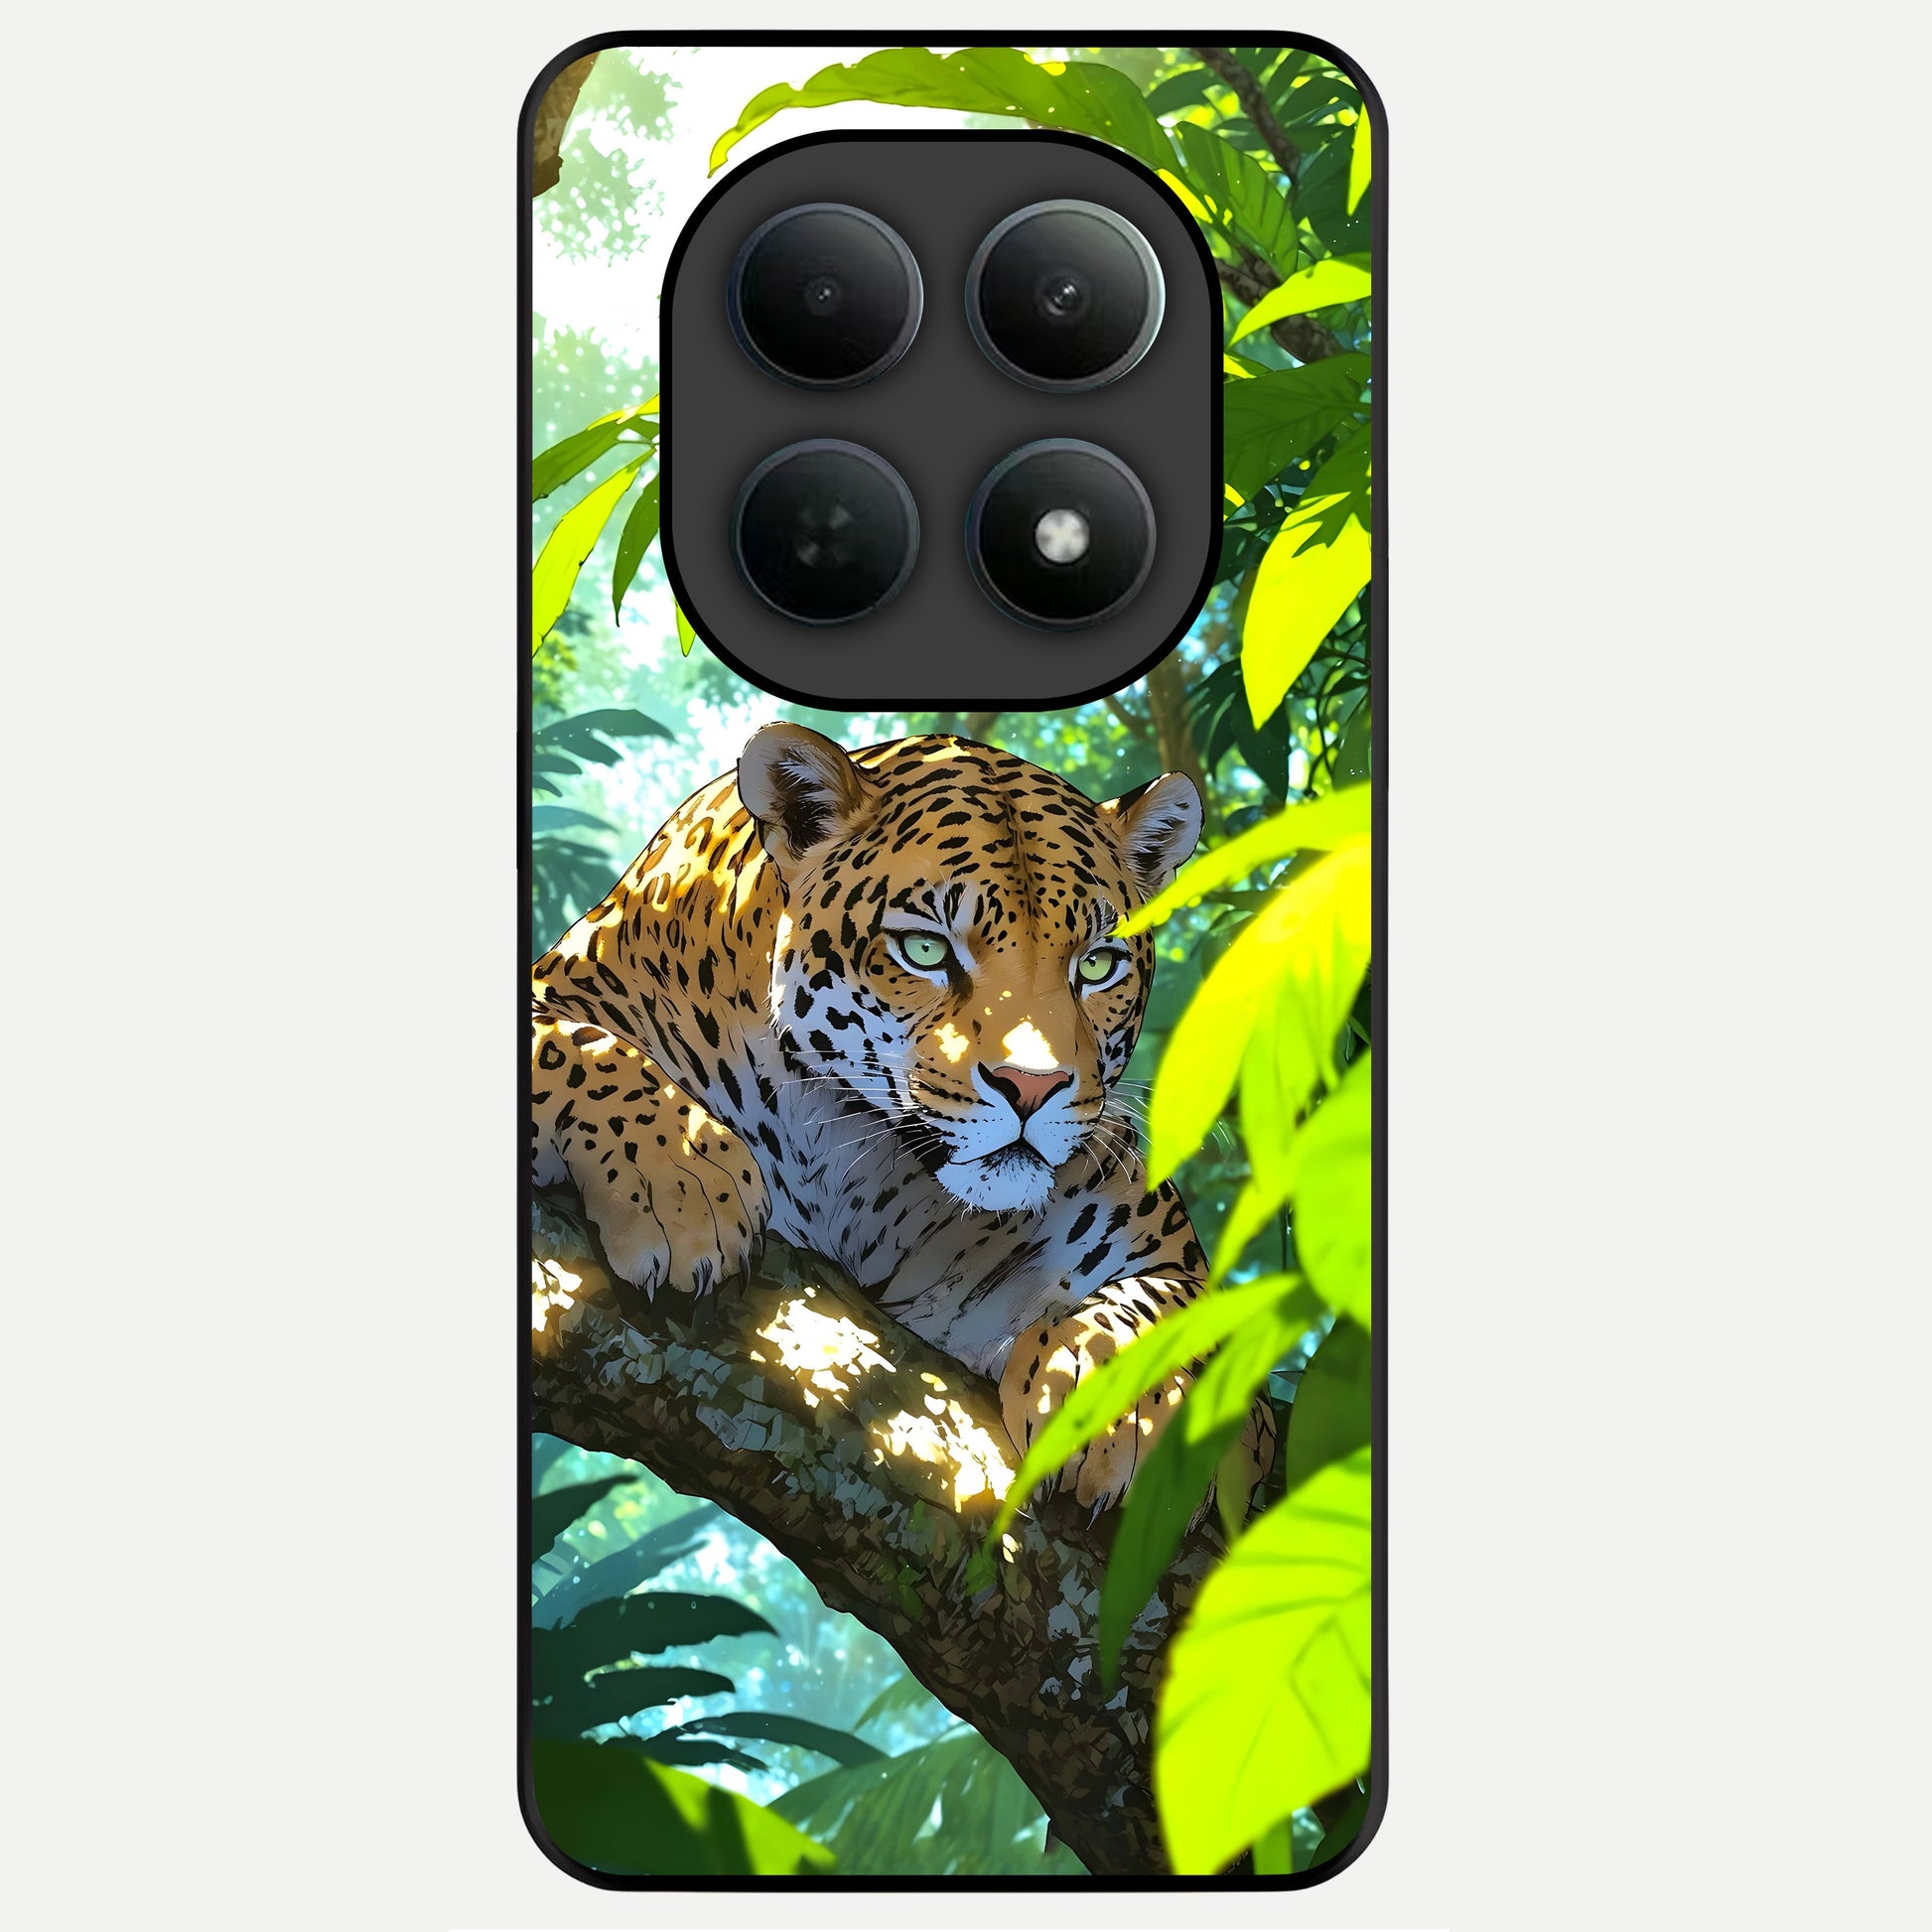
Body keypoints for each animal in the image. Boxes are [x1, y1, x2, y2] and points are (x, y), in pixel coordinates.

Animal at [531, 723, 1273, 1513]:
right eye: (925, 949)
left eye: (1098, 965)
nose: (1032, 1086)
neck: (849, 1159)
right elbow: (572, 1045)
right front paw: (682, 1179)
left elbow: (1185, 1305)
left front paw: (1115, 1398)